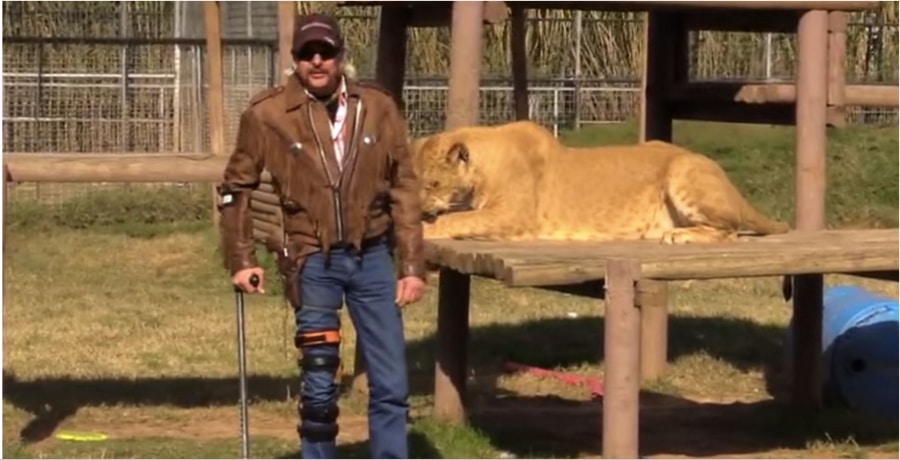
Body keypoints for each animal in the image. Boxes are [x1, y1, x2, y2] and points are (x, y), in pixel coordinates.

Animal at [412, 120, 792, 246]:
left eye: (432, 183)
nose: (417, 206)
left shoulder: (514, 218)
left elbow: (455, 219)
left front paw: (424, 226)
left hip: (682, 169)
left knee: (730, 231)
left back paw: (680, 235)